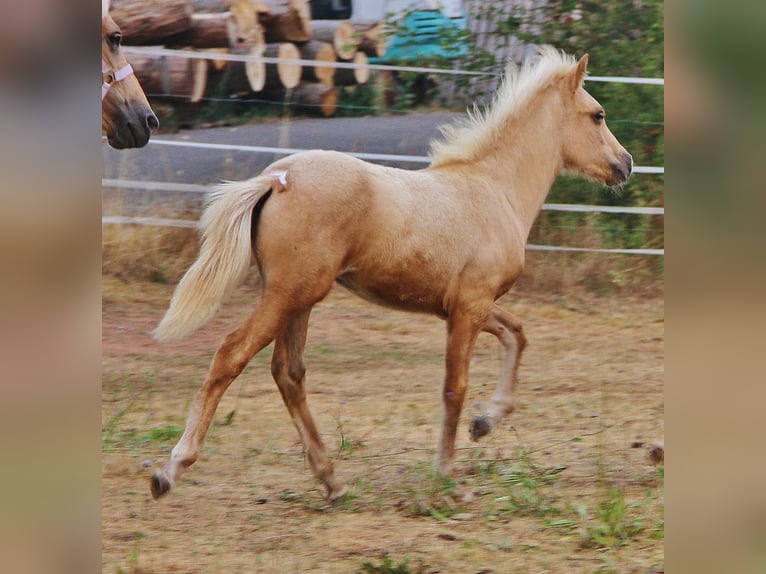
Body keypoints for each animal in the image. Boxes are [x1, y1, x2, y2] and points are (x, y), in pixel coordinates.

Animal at [149, 47, 632, 502]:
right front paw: (449, 478)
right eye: (598, 114)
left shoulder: (465, 306)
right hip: (291, 293)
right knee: (232, 354)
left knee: (288, 373)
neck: (494, 188)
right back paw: (170, 471)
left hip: (298, 297)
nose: (625, 164)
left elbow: (516, 335)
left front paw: (484, 423)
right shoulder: (470, 307)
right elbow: (455, 387)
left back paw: (331, 479)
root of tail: (277, 178)